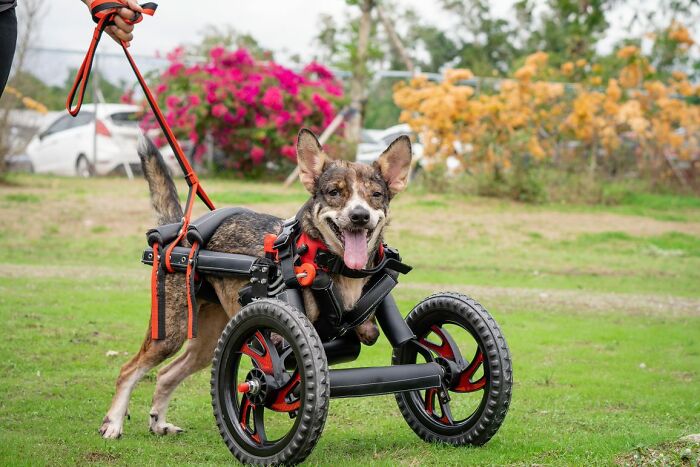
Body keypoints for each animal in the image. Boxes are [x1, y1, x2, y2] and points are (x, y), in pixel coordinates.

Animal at [101, 127, 412, 438]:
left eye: (376, 195)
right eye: (335, 192)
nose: (360, 215)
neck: (334, 264)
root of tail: (180, 232)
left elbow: (370, 331)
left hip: (208, 341)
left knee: (167, 374)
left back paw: (159, 422)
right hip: (170, 331)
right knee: (129, 370)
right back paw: (113, 423)